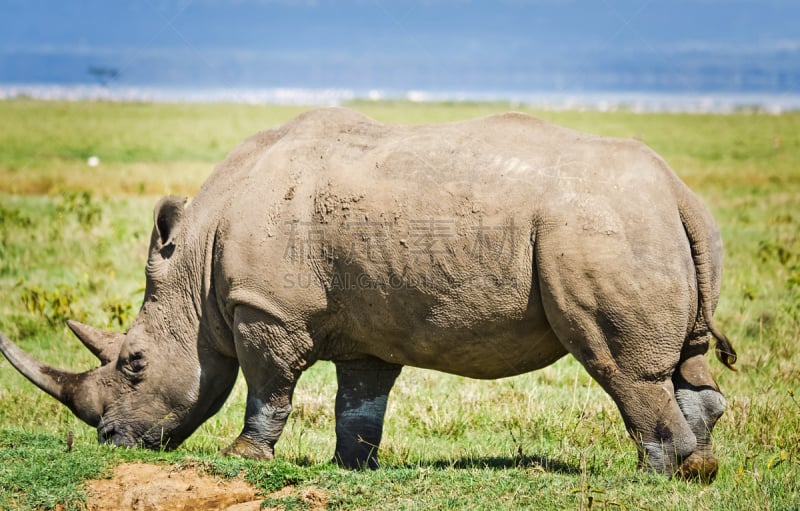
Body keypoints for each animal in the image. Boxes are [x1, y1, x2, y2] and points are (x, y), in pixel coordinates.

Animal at [0, 107, 736, 480]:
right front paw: (351, 467)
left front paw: (243, 457)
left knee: (618, 364)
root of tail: (676, 190)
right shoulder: (367, 326)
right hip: (653, 222)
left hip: (598, 226)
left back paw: (658, 473)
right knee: (686, 360)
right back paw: (699, 466)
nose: (113, 440)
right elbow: (359, 402)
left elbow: (268, 386)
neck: (196, 269)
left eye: (133, 365)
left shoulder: (264, 307)